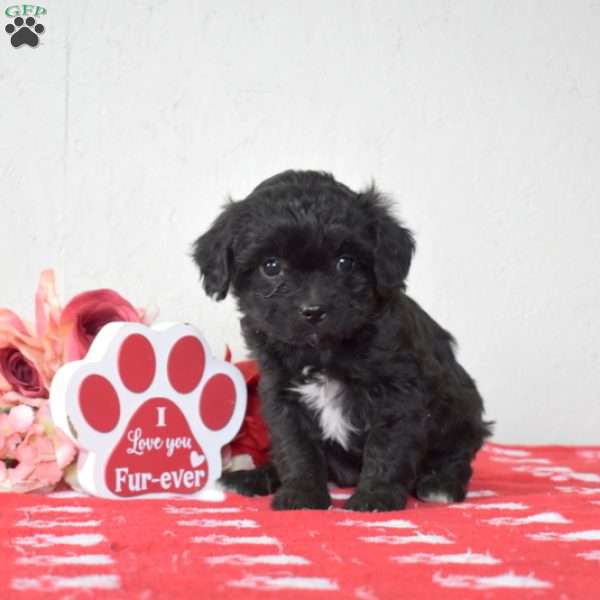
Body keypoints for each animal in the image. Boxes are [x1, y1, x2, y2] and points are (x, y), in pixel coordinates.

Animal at [192, 169, 492, 510]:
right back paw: (253, 477)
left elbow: (387, 445)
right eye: (271, 266)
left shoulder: (399, 392)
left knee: (455, 456)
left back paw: (440, 484)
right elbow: (295, 447)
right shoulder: (282, 394)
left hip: (462, 414)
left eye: (345, 262)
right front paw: (302, 494)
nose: (313, 310)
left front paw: (375, 496)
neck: (323, 351)